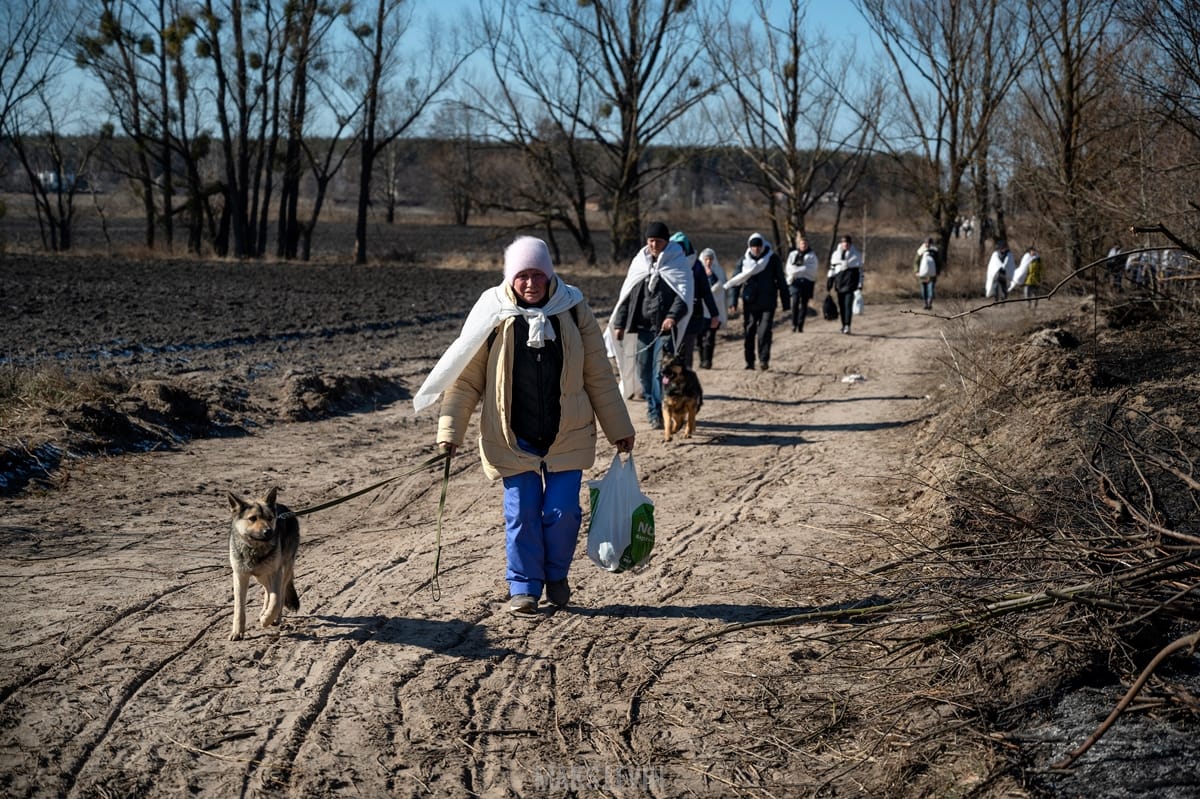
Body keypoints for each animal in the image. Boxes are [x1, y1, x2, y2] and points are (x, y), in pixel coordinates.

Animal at [226, 482, 300, 638]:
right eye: (253, 518)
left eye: (270, 518)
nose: (269, 532)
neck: (255, 549)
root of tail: (286, 509)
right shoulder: (240, 576)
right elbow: (239, 607)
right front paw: (237, 631)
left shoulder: (276, 572)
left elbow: (276, 600)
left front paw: (267, 619)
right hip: (262, 575)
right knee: (268, 590)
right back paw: (264, 612)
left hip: (283, 570)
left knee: (279, 592)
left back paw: (274, 618)